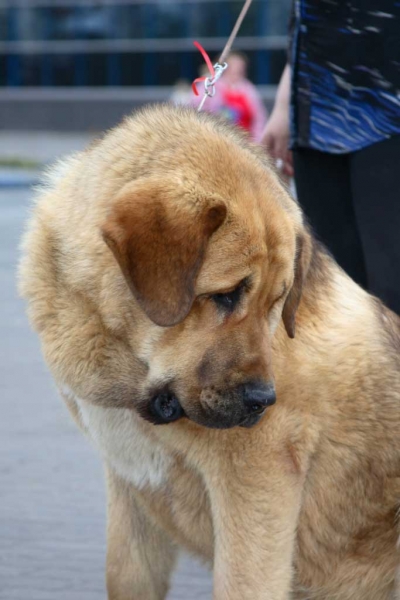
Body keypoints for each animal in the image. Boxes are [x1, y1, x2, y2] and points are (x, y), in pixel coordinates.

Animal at [18, 105, 400, 596]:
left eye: (277, 302)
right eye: (226, 294)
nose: (262, 401)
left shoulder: (255, 483)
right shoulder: (129, 492)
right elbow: (124, 574)